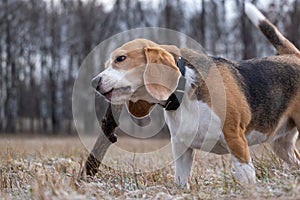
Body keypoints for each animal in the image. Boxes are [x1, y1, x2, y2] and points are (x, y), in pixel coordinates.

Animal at [91, 3, 300, 185]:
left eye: (121, 59)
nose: (95, 82)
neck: (184, 90)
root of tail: (292, 57)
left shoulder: (236, 140)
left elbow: (246, 178)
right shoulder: (181, 148)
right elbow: (180, 181)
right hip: (282, 145)